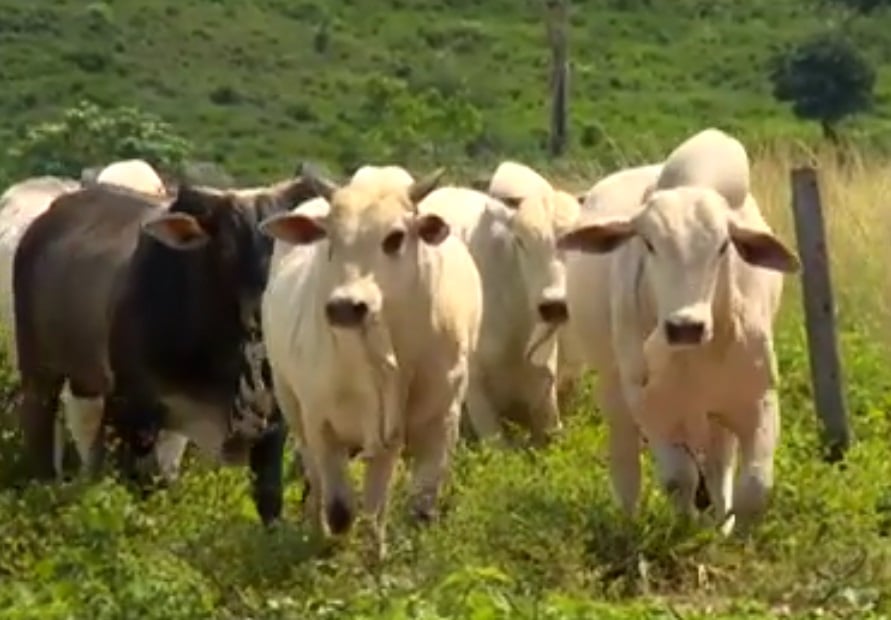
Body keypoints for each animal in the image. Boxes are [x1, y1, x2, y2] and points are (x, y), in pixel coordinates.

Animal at [12, 176, 318, 524]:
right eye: (226, 247)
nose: (260, 311)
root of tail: (47, 218)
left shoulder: (273, 424)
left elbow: (269, 497)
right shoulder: (136, 410)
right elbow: (141, 485)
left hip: (86, 381)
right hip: (39, 371)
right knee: (39, 429)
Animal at [258, 166, 480, 556]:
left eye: (395, 238)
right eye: (329, 239)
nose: (345, 307)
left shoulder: (442, 420)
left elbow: (417, 505)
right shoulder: (320, 422)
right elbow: (340, 509)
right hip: (292, 406)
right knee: (318, 484)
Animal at [556, 127, 800, 532]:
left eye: (723, 246)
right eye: (649, 242)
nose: (685, 327)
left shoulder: (758, 400)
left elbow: (754, 486)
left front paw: (729, 532)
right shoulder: (651, 407)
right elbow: (678, 478)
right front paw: (686, 529)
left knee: (719, 465)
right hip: (614, 392)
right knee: (626, 461)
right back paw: (629, 520)